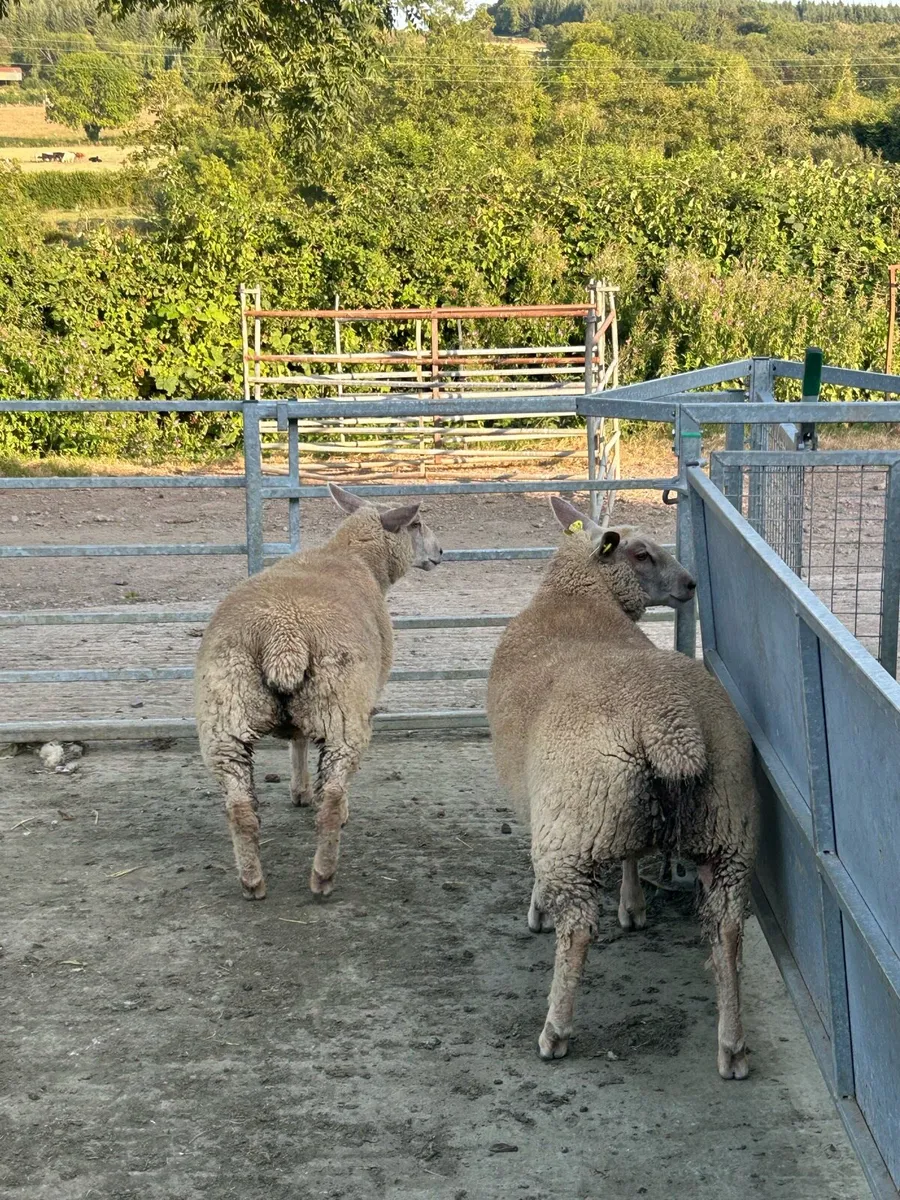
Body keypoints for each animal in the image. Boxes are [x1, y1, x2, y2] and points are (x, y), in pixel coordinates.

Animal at [194, 483, 443, 901]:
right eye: (417, 524)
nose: (441, 552)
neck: (352, 556)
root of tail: (283, 637)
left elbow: (296, 741)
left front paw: (299, 792)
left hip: (225, 715)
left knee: (239, 807)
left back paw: (252, 882)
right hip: (342, 711)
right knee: (333, 798)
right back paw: (323, 875)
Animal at [486, 497, 758, 1079]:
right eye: (640, 553)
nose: (691, 584)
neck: (577, 601)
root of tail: (672, 724)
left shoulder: (538, 798)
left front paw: (537, 908)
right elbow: (633, 853)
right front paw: (633, 908)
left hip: (573, 825)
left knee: (578, 932)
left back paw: (555, 1030)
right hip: (727, 827)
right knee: (728, 930)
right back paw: (732, 1046)